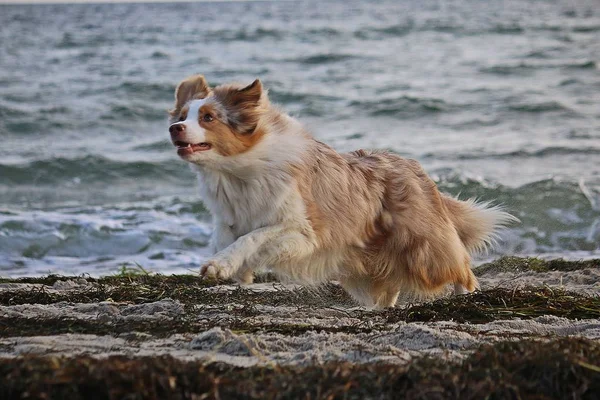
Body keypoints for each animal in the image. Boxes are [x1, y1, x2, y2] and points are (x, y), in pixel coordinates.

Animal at [166, 75, 512, 308]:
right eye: (182, 116)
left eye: (208, 118)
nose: (174, 128)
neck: (236, 172)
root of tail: (413, 167)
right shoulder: (229, 221)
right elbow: (234, 239)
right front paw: (238, 269)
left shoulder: (302, 231)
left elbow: (253, 236)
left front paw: (220, 264)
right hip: (366, 265)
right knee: (390, 286)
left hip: (423, 251)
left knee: (459, 266)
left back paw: (468, 295)